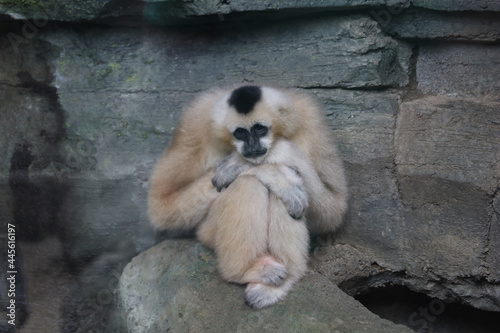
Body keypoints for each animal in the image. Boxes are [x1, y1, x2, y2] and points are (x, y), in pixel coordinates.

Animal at [148, 84, 348, 308]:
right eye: (240, 133)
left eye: (260, 129)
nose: (251, 145)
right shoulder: (194, 122)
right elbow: (163, 207)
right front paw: (261, 168)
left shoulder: (310, 118)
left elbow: (334, 209)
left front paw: (259, 159)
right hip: (206, 232)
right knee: (248, 184)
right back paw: (244, 271)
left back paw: (283, 280)